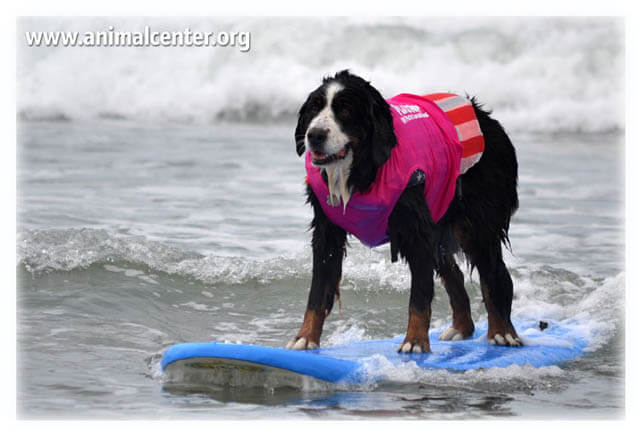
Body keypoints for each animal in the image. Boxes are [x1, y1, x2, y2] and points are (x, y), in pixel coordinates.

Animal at [284, 69, 520, 354]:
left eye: (346, 111)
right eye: (314, 108)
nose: (314, 135)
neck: (362, 170)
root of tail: (489, 121)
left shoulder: (416, 231)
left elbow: (419, 294)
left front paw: (415, 342)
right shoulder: (327, 230)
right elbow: (317, 291)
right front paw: (305, 337)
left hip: (476, 225)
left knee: (494, 276)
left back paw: (502, 333)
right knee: (454, 274)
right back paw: (462, 328)